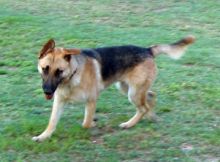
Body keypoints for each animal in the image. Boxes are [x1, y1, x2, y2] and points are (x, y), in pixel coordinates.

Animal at [32, 34, 194, 141]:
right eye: (45, 69)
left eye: (59, 71)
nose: (47, 91)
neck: (72, 75)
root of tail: (147, 50)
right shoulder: (59, 101)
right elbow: (52, 122)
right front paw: (43, 136)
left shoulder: (91, 101)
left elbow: (85, 123)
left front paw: (91, 125)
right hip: (127, 88)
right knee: (150, 97)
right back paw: (150, 116)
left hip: (133, 93)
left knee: (143, 108)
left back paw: (129, 124)